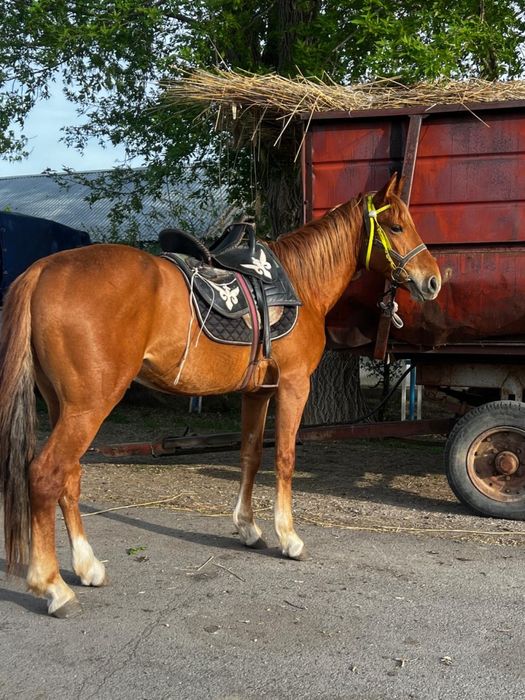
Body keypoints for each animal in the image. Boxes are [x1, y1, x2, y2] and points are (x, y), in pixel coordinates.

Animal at [0, 173, 441, 617]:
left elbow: (251, 455)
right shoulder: (293, 385)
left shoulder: (257, 392)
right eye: (396, 227)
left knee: (69, 476)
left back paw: (87, 566)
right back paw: (53, 586)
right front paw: (289, 537)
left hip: (63, 405)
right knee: (46, 473)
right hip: (89, 406)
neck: (300, 282)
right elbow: (284, 457)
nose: (433, 280)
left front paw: (248, 527)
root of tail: (42, 269)